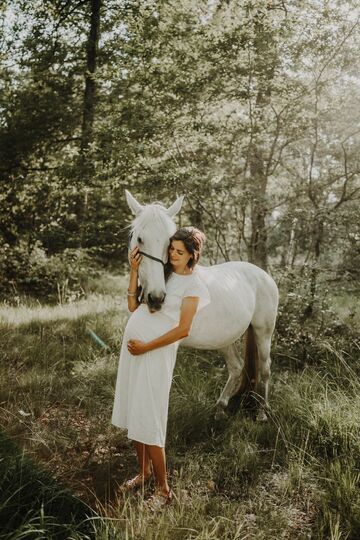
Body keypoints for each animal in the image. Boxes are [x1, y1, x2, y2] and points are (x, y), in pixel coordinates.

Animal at [125, 190, 280, 422]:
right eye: (140, 239)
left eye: (169, 242)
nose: (156, 298)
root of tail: (263, 274)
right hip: (226, 337)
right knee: (236, 368)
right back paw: (220, 407)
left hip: (263, 332)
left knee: (265, 368)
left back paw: (262, 411)